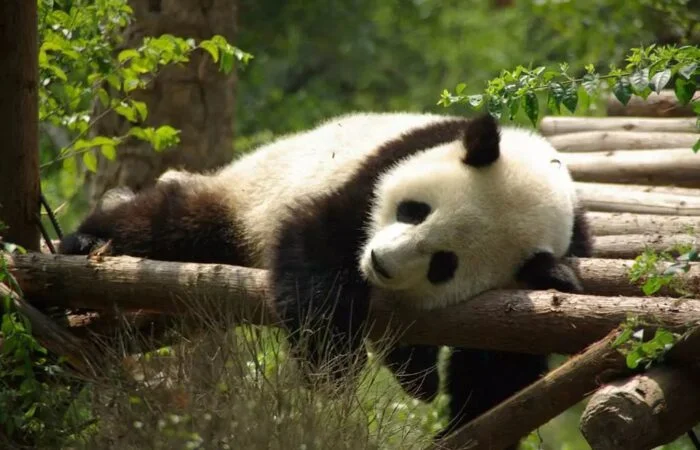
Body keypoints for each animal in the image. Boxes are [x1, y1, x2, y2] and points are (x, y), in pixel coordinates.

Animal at [59, 111, 592, 447]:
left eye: (444, 263)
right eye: (415, 210)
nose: (380, 260)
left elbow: (501, 358)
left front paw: (456, 423)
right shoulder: (378, 171)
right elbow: (318, 240)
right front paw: (331, 369)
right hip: (243, 198)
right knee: (170, 221)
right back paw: (87, 241)